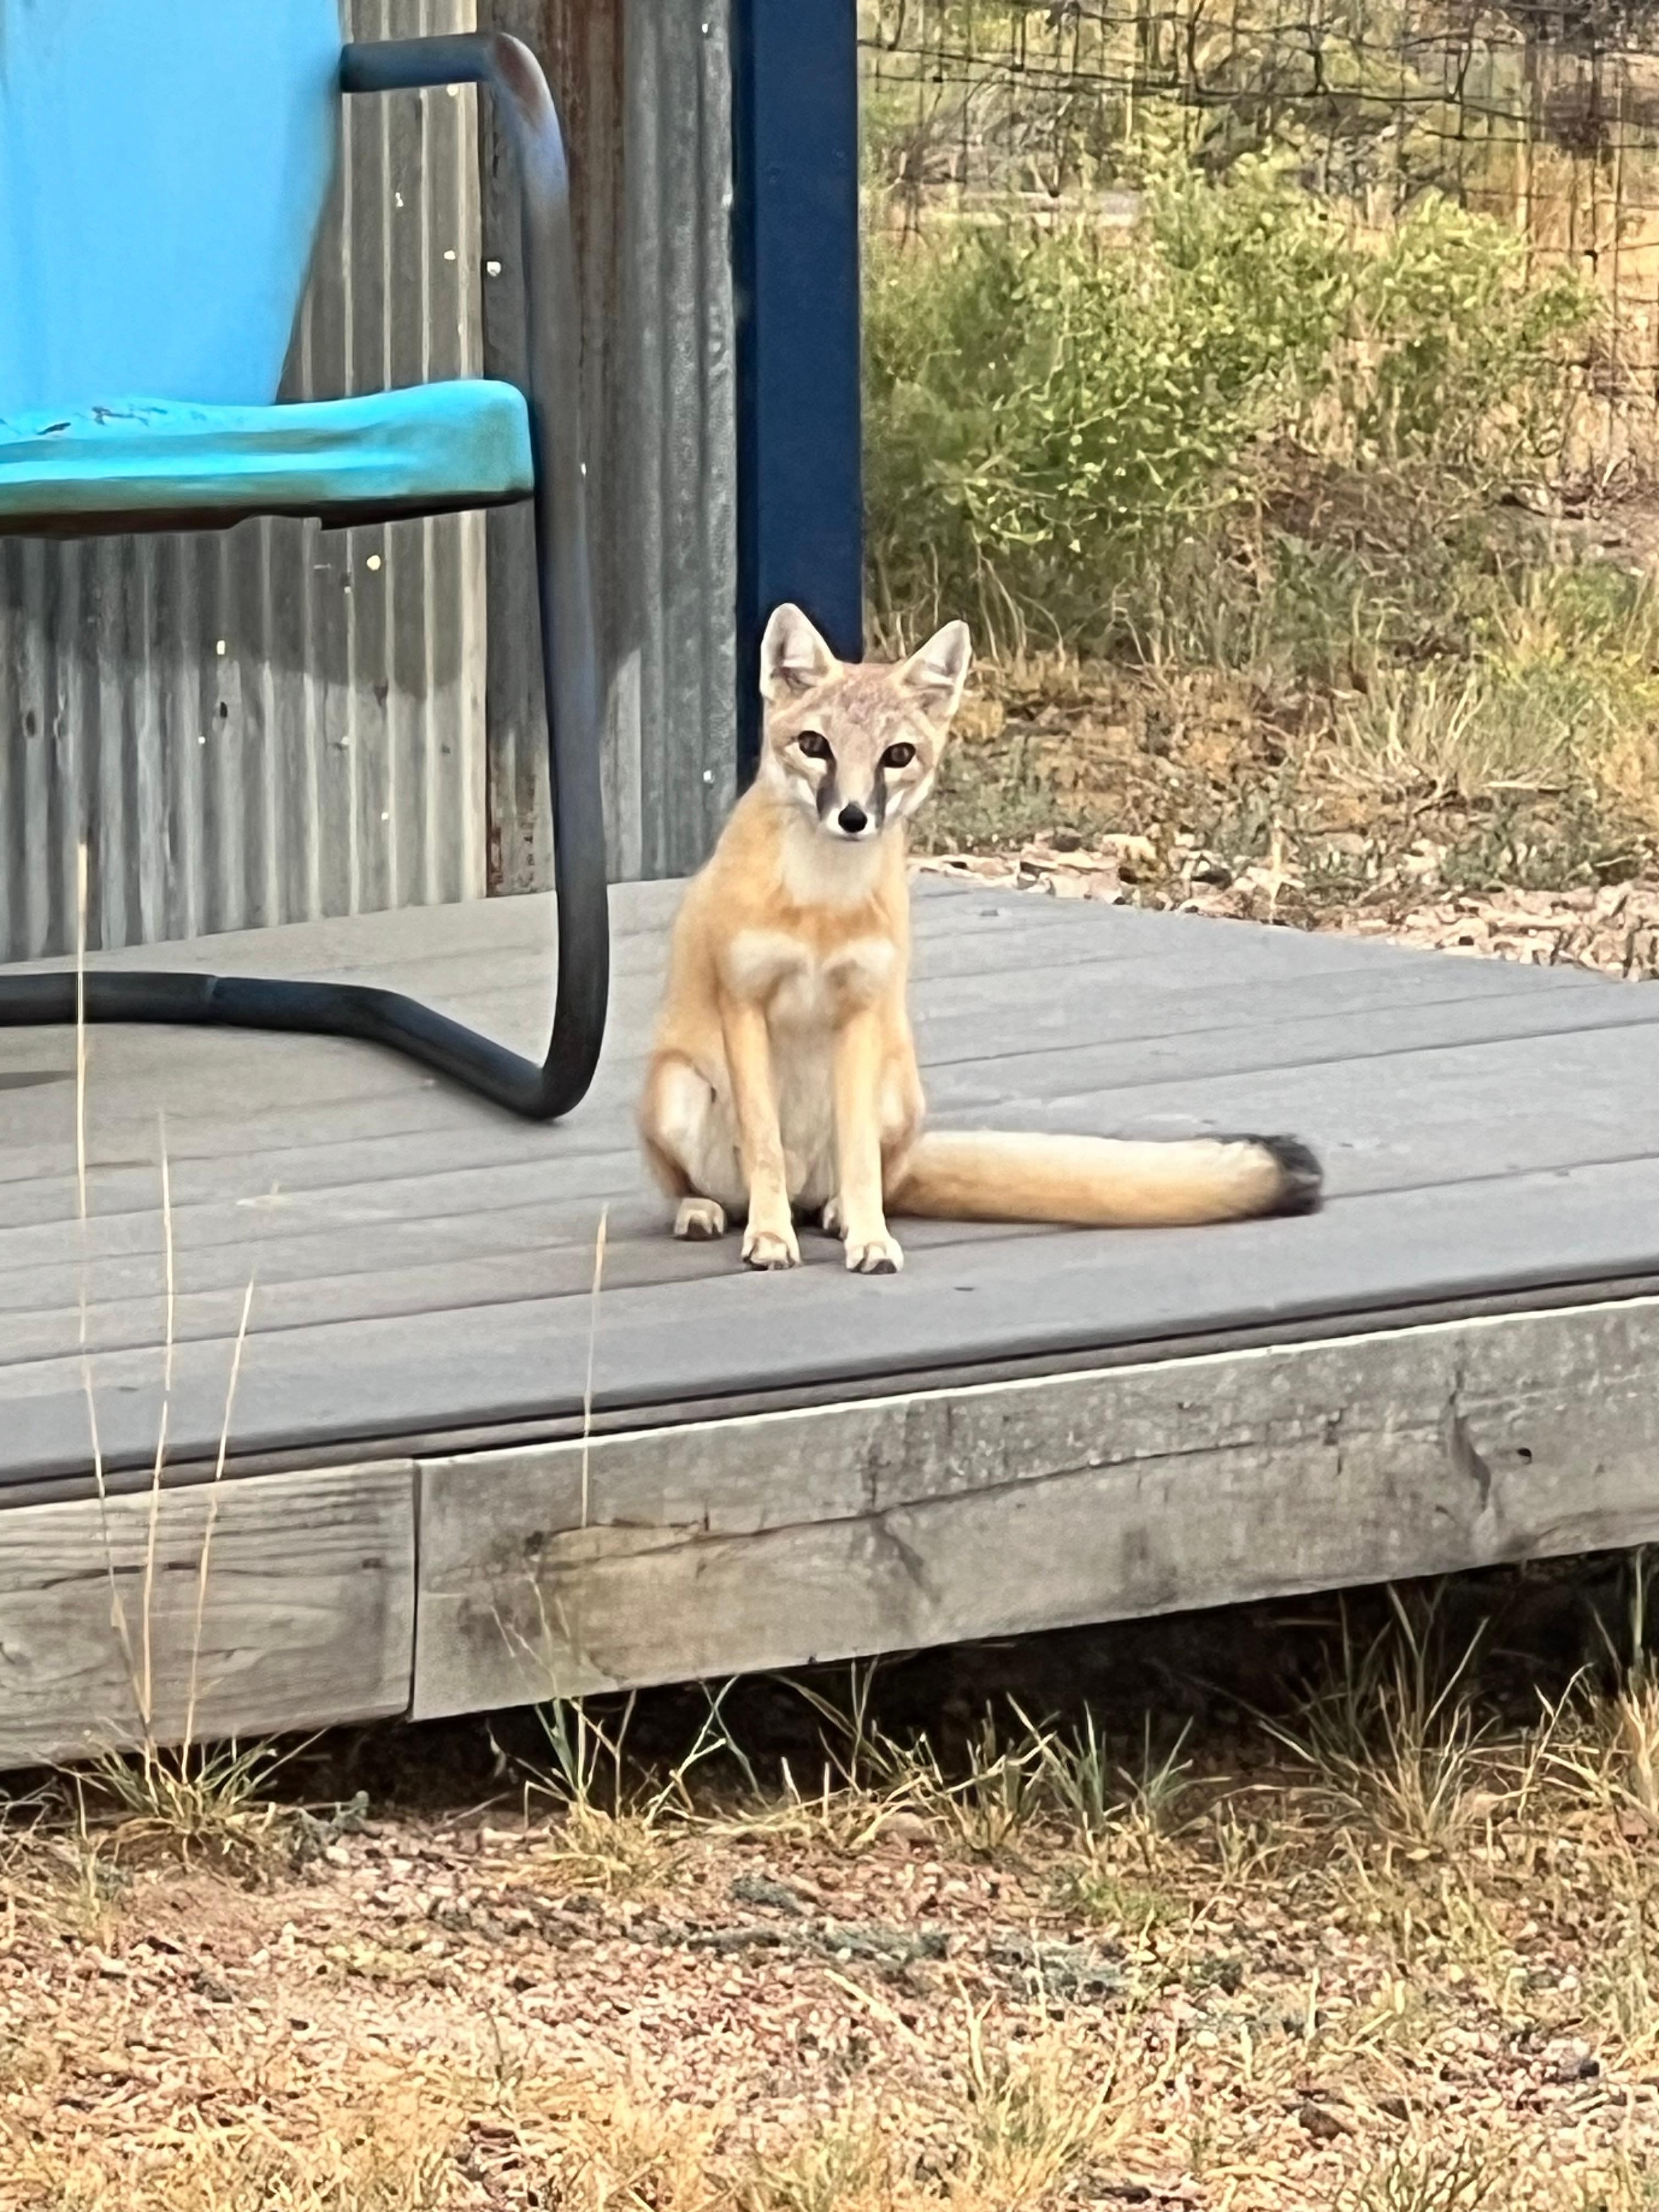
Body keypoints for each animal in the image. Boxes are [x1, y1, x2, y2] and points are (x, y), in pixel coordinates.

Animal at [638, 602, 1322, 1274]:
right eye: (814, 746)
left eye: (897, 755)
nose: (854, 817)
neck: (821, 906)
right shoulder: (744, 1003)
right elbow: (765, 1151)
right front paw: (771, 1237)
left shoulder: (861, 1010)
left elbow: (860, 1163)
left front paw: (870, 1239)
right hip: (677, 1093)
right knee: (713, 1188)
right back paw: (706, 1211)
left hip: (894, 1096)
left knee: (870, 1181)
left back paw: (839, 1215)